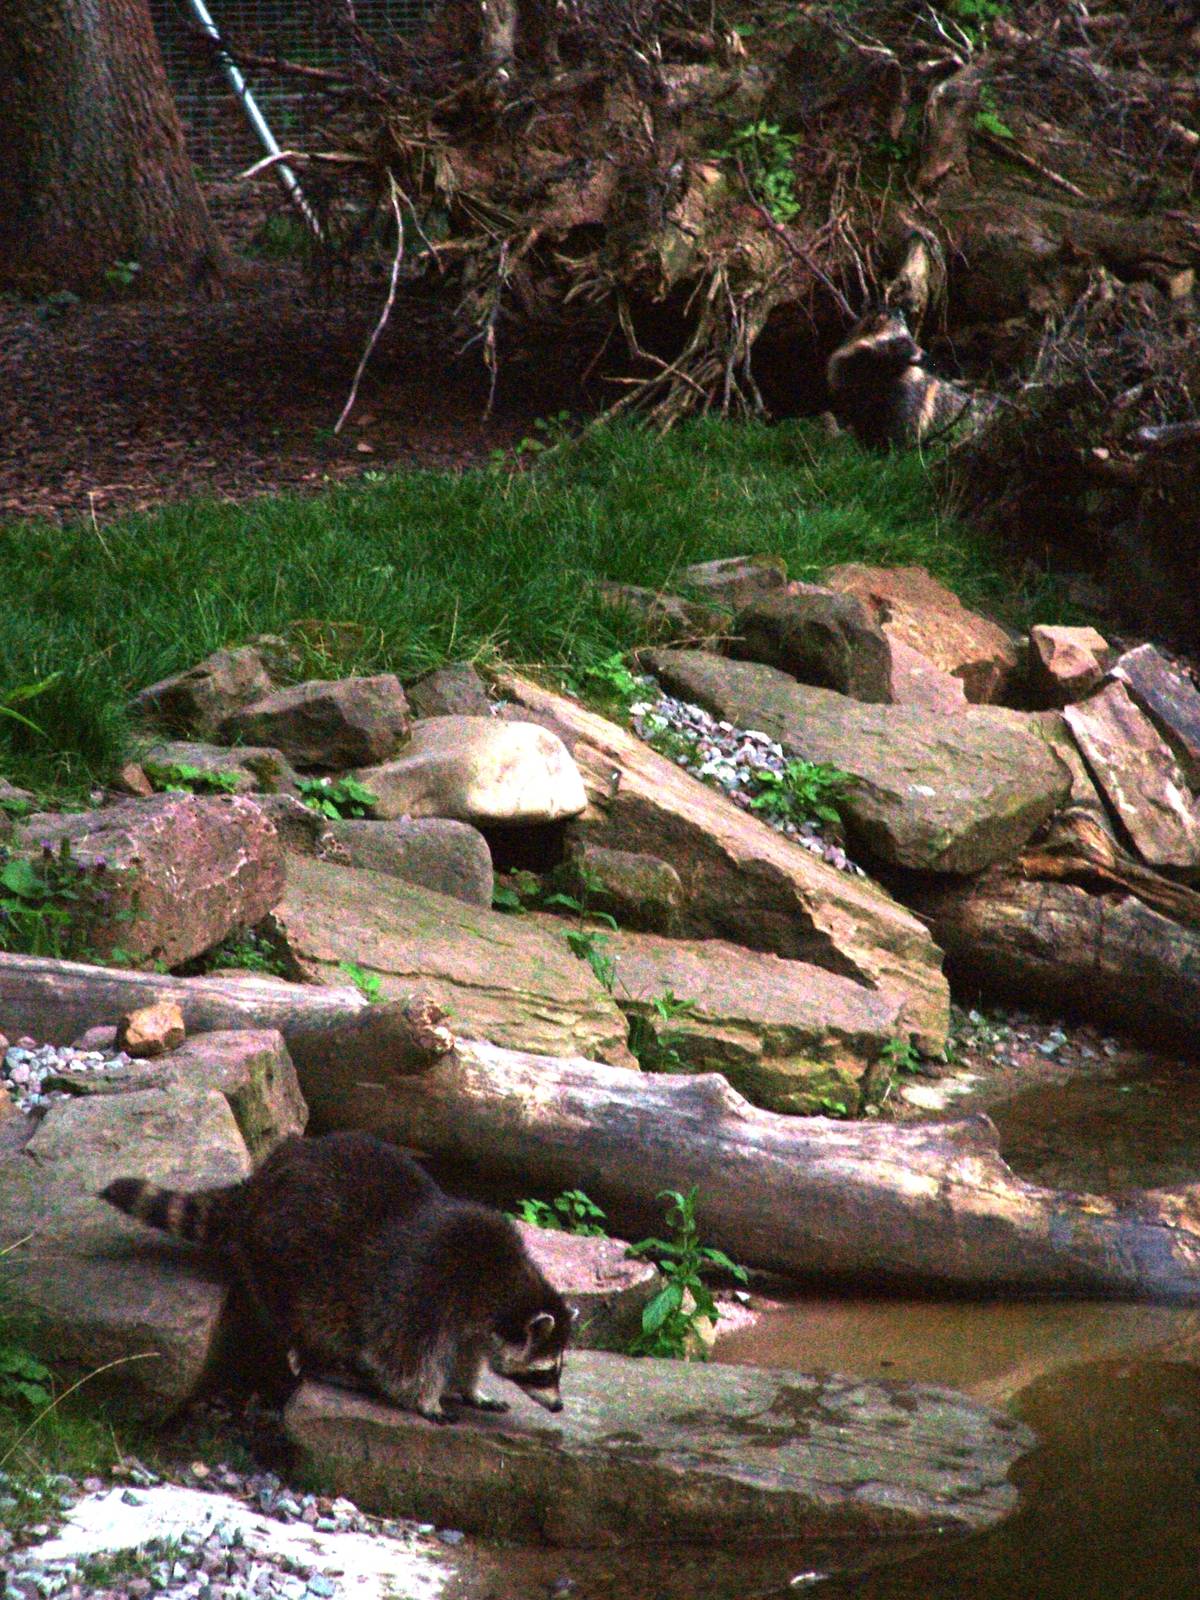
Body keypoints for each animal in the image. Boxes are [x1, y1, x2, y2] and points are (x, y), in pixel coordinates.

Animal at [101, 1131, 573, 1422]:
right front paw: (426, 1399)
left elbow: (467, 1353)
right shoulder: (425, 1288)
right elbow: (405, 1356)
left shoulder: (471, 1318)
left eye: (556, 1370)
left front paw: (471, 1388)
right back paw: (318, 1358)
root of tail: (259, 1184)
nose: (558, 1407)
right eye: (544, 1372)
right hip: (286, 1255)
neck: (502, 1284)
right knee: (310, 1316)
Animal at [826, 306, 981, 449]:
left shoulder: (906, 389)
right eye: (903, 342)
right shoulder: (848, 379)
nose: (925, 356)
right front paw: (868, 447)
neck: (879, 368)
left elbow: (902, 423)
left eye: (912, 339)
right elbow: (859, 417)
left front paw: (893, 449)